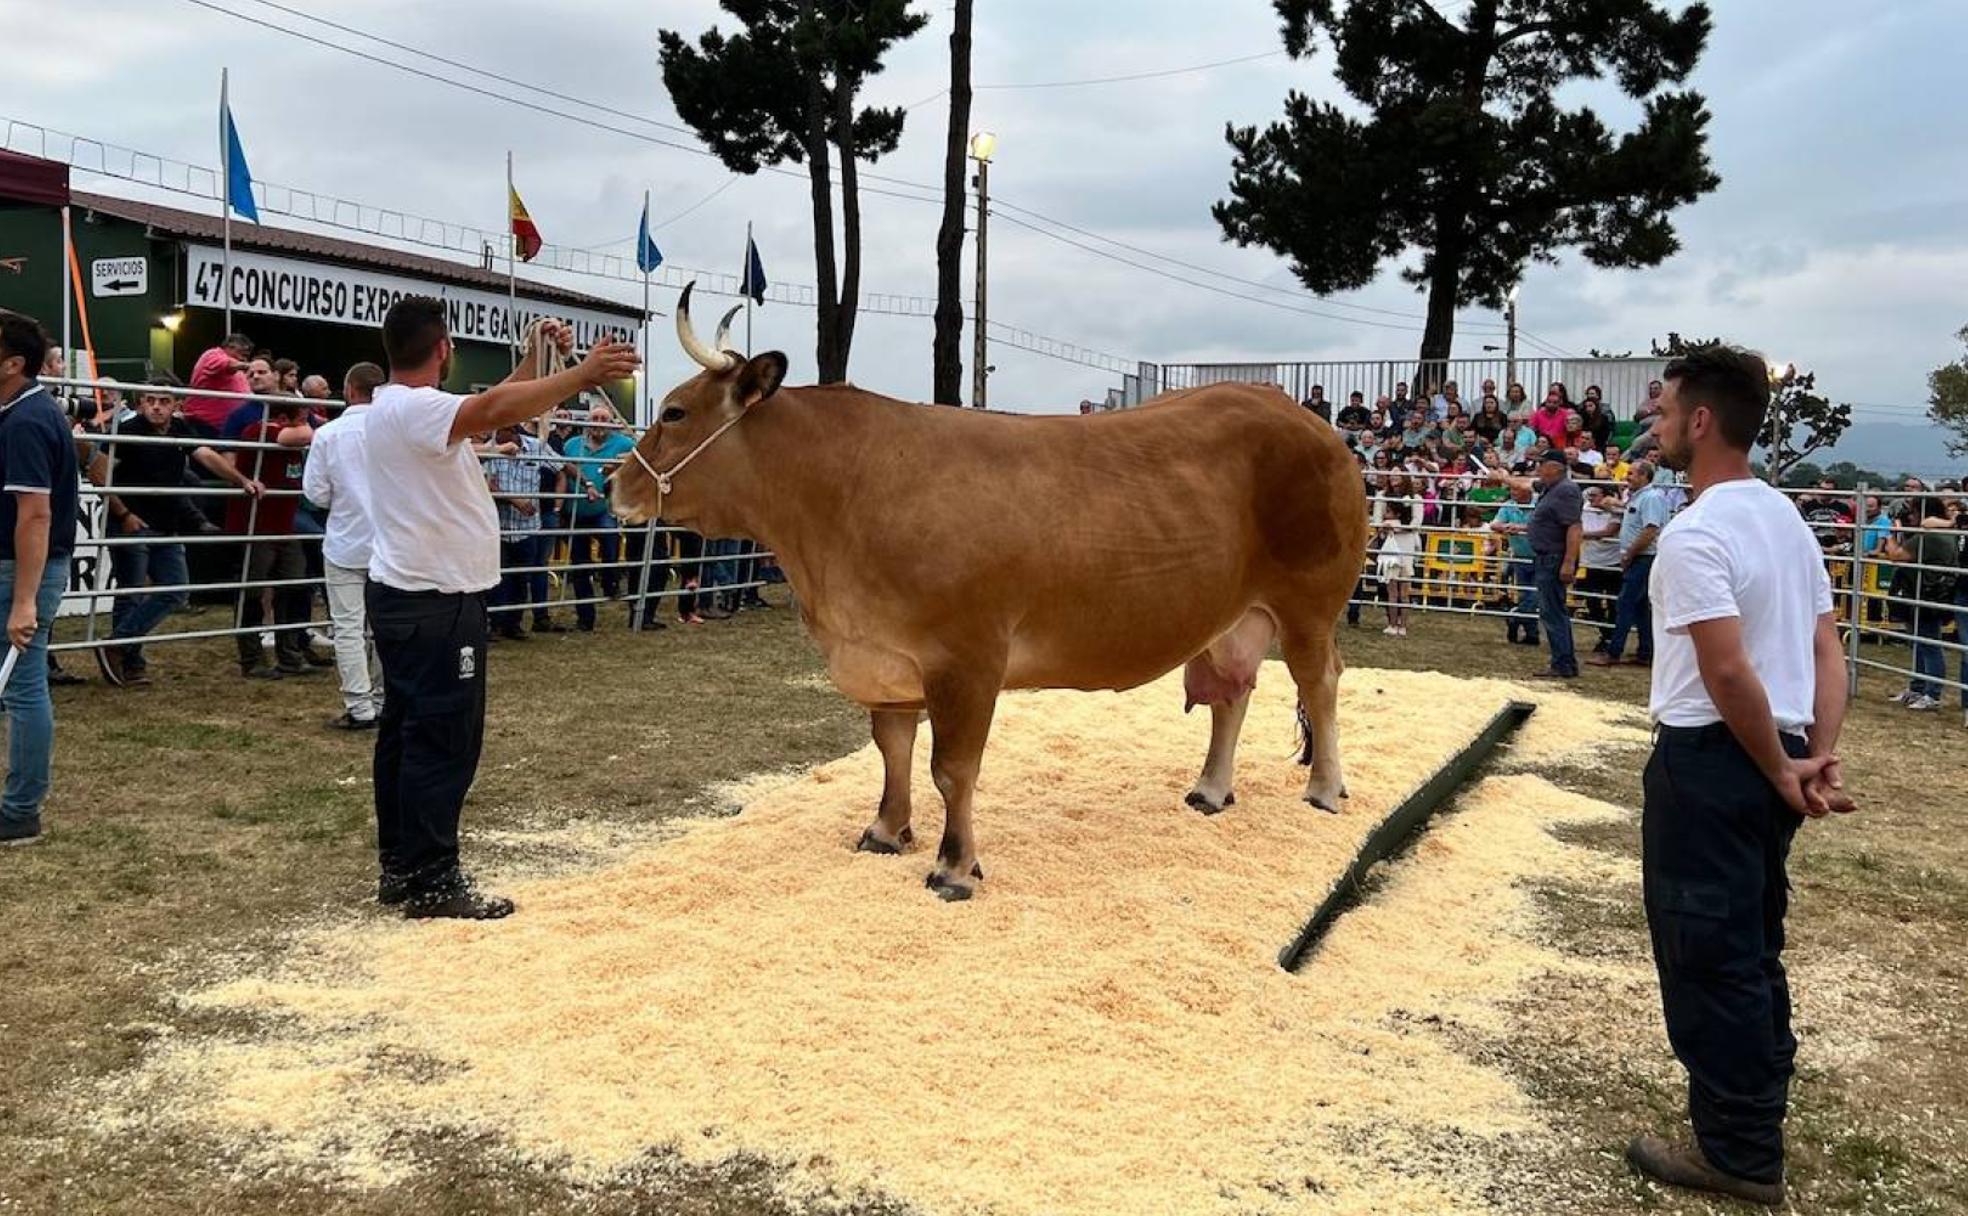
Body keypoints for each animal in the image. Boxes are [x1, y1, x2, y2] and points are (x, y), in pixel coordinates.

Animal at [614, 279, 1369, 893]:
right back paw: (1211, 790)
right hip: (1232, 611)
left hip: (1310, 603)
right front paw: (885, 831)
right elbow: (893, 749)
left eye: (674, 411)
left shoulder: (967, 657)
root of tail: (1302, 416)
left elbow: (953, 768)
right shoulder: (887, 658)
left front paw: (954, 867)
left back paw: (1326, 789)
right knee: (1234, 690)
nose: (615, 484)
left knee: (1320, 683)